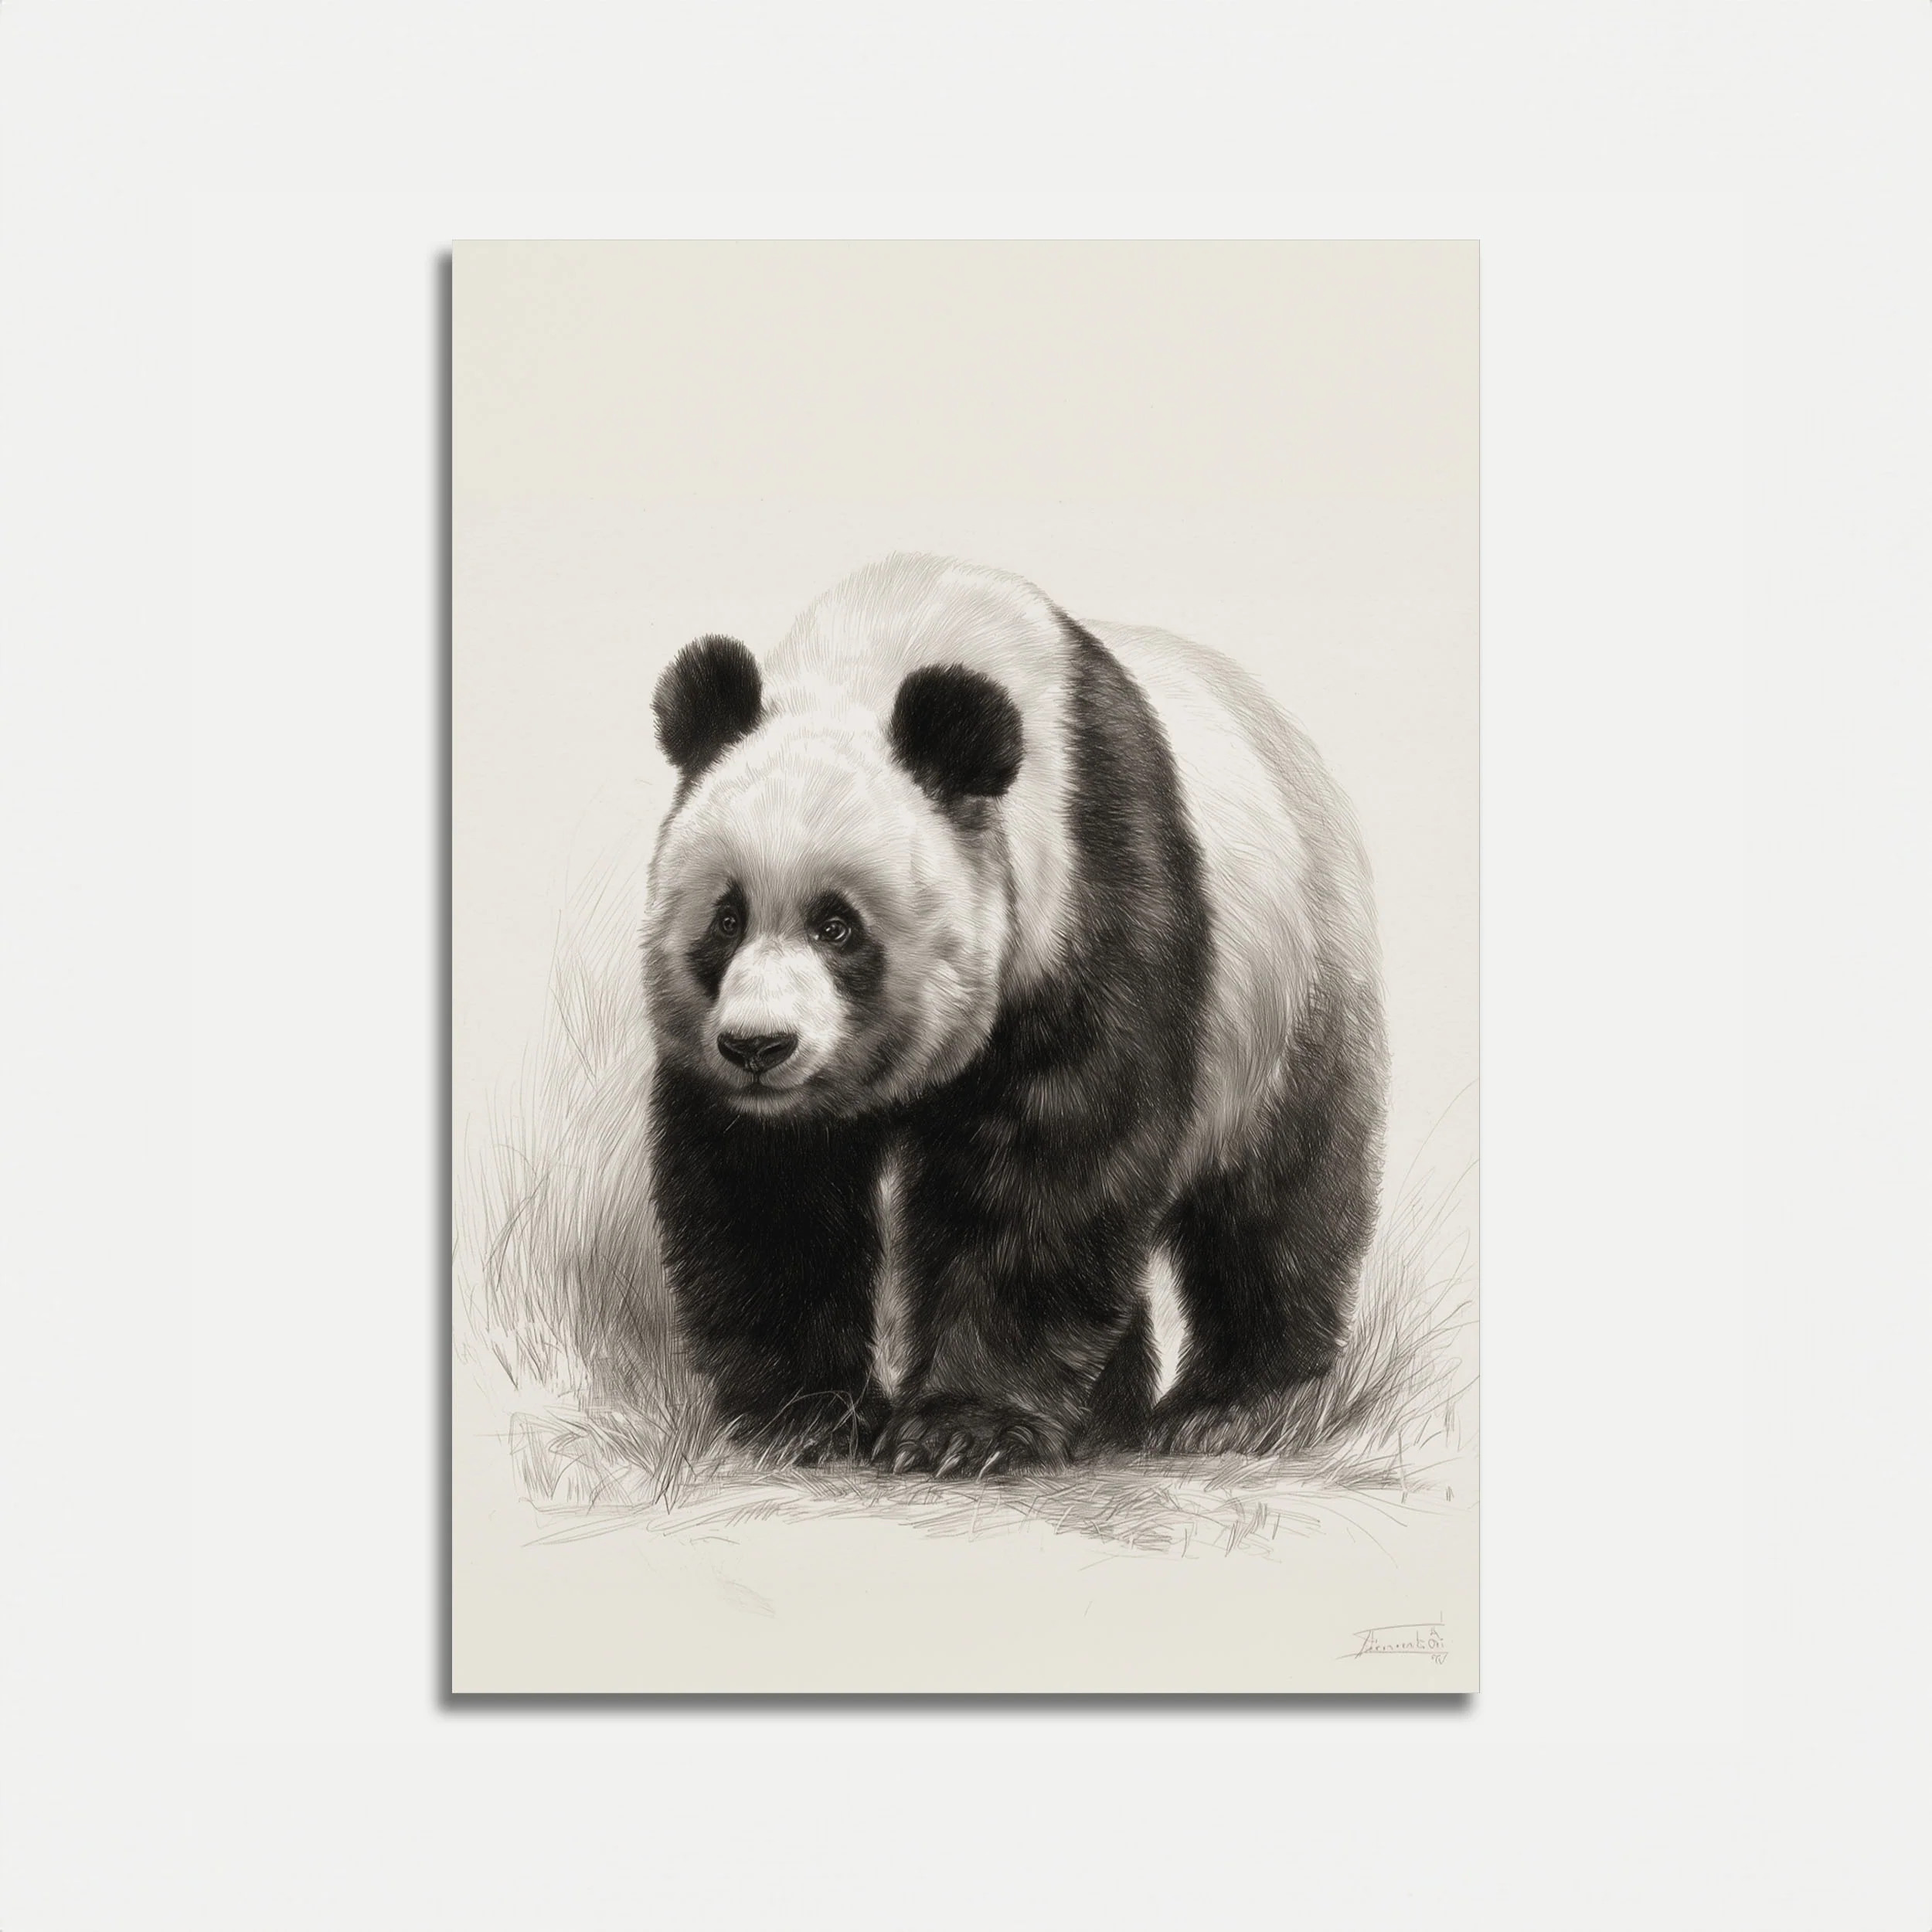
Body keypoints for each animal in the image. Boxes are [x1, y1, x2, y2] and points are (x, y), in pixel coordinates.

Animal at [643, 553, 1386, 1476]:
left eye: (837, 925)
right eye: (726, 919)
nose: (758, 1046)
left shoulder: (1094, 886)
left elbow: (1053, 1160)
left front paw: (963, 1429)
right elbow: (768, 1189)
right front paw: (806, 1417)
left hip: (1294, 987)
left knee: (1276, 1201)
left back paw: (1232, 1407)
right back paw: (1109, 1409)